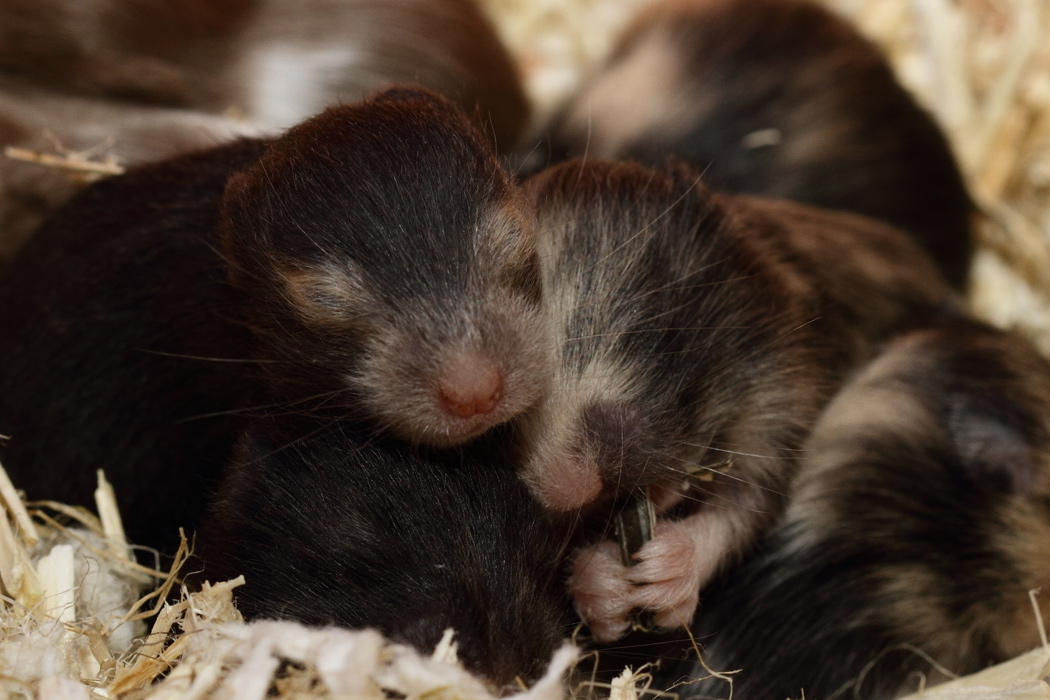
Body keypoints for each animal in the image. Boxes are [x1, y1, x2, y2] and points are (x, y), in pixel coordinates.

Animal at [512, 157, 957, 642]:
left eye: (651, 320)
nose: (567, 487)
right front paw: (603, 587)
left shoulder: (784, 392)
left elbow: (744, 507)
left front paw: (664, 571)